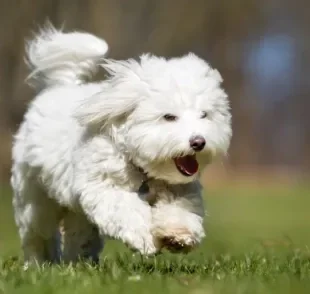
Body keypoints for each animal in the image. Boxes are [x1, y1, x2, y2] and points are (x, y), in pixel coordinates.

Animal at [9, 25, 231, 264]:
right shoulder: (104, 186)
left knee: (79, 232)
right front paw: (145, 238)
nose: (198, 142)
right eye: (169, 117)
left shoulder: (179, 190)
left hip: (75, 209)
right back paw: (40, 262)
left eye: (204, 115)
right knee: (38, 233)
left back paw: (79, 260)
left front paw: (178, 235)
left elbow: (180, 210)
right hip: (35, 199)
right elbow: (127, 211)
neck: (142, 169)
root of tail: (60, 87)